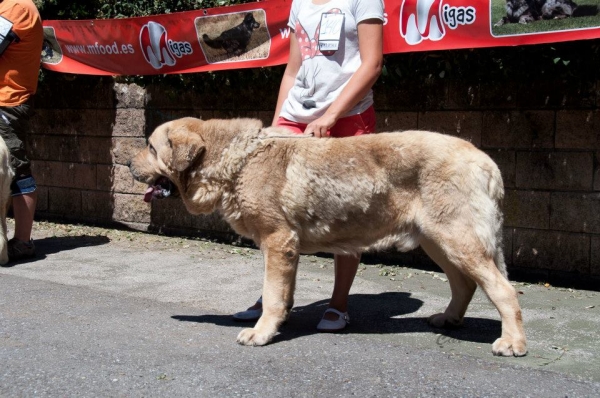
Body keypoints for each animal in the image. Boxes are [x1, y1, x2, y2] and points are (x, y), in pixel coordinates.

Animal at [130, 116, 524, 356]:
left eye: (150, 147)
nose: (127, 164)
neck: (235, 160)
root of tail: (487, 161)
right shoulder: (285, 250)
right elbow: (281, 295)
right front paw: (278, 322)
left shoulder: (278, 243)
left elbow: (271, 296)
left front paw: (261, 332)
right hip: (438, 240)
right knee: (465, 284)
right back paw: (449, 319)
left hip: (457, 240)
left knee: (503, 290)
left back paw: (513, 342)